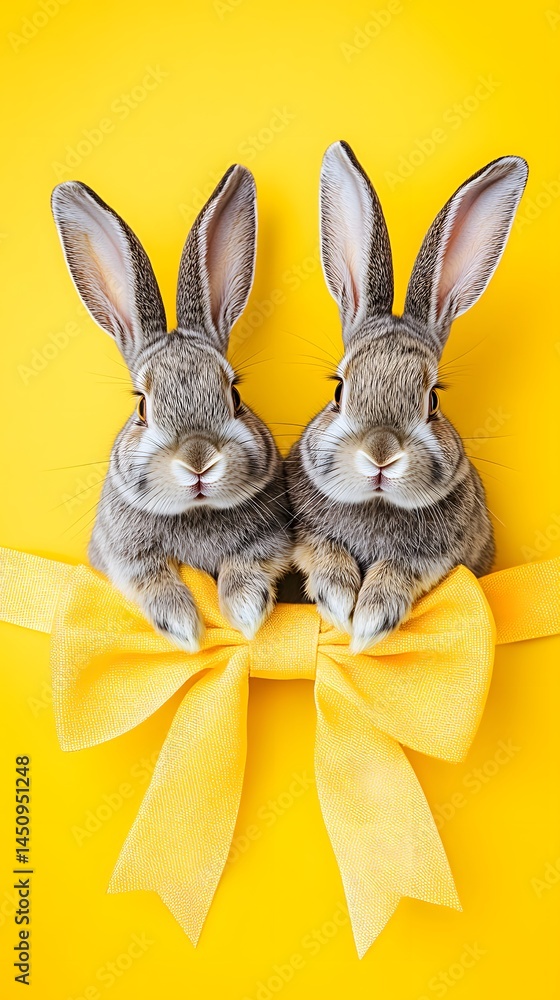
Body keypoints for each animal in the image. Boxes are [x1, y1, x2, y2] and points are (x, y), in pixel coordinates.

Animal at [51, 165, 292, 652]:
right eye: (143, 407)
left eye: (235, 396)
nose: (198, 461)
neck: (195, 512)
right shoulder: (122, 555)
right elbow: (151, 580)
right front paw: (183, 627)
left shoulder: (272, 538)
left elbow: (248, 564)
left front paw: (246, 613)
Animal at [286, 141, 528, 653]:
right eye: (339, 390)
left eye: (433, 400)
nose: (380, 454)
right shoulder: (304, 533)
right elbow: (324, 550)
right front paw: (339, 599)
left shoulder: (440, 558)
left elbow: (400, 569)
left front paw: (371, 619)